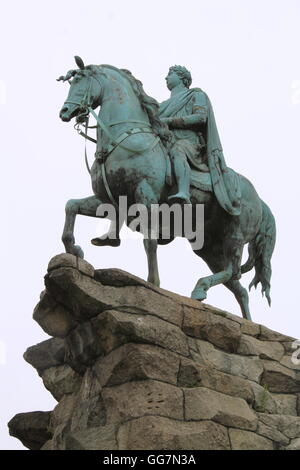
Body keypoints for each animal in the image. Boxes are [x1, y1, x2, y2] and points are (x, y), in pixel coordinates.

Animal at [57, 54, 276, 320]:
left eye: (80, 81)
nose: (65, 111)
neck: (123, 139)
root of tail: (260, 201)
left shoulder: (146, 196)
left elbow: (149, 242)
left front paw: (153, 283)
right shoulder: (108, 201)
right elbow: (71, 207)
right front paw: (74, 249)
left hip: (234, 235)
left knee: (233, 272)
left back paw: (200, 288)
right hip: (209, 246)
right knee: (238, 287)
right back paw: (245, 320)